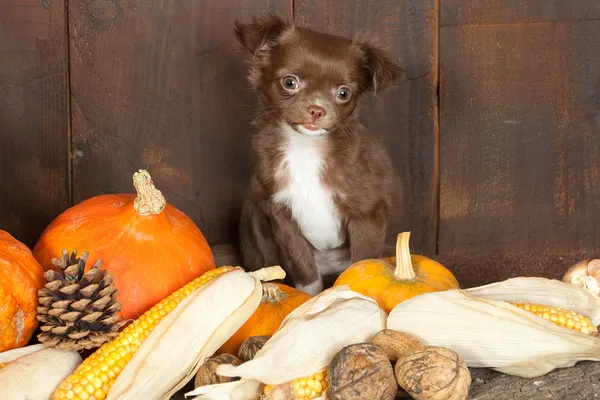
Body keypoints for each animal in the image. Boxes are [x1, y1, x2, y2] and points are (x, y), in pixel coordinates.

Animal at [234, 14, 404, 296]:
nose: (316, 110)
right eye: (290, 82)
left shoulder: (367, 214)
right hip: (255, 217)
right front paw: (309, 299)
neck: (306, 148)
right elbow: (304, 268)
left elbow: (362, 261)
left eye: (343, 93)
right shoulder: (281, 215)